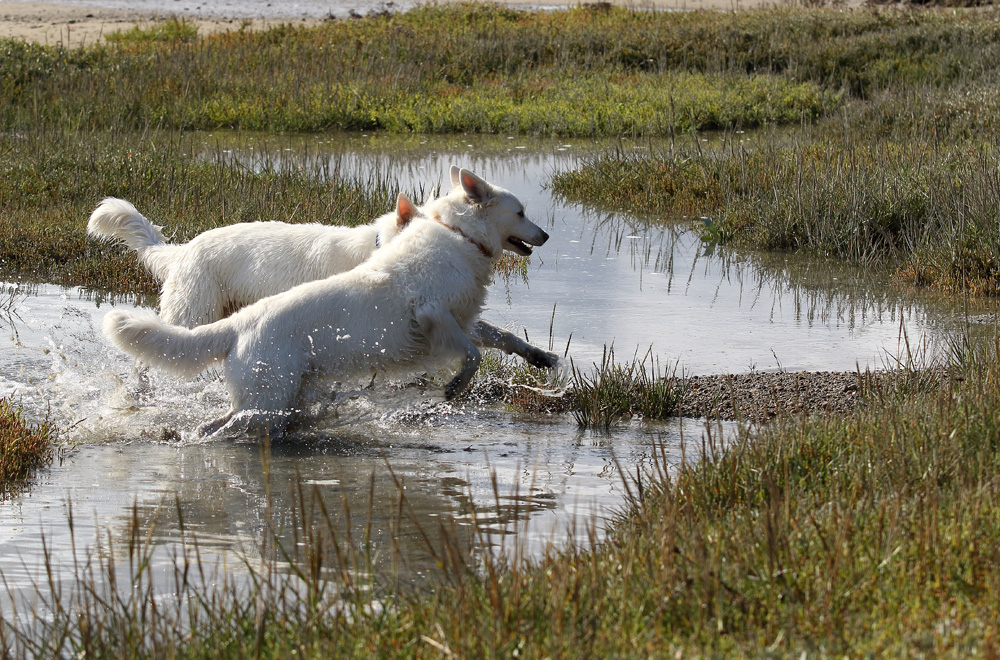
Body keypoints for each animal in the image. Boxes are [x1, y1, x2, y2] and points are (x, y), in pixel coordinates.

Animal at [102, 168, 551, 438]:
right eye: (521, 212)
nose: (545, 235)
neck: (459, 236)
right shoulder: (432, 314)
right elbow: (473, 354)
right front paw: (455, 386)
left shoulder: (461, 317)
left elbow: (501, 336)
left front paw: (541, 357)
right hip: (235, 361)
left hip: (274, 395)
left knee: (221, 421)